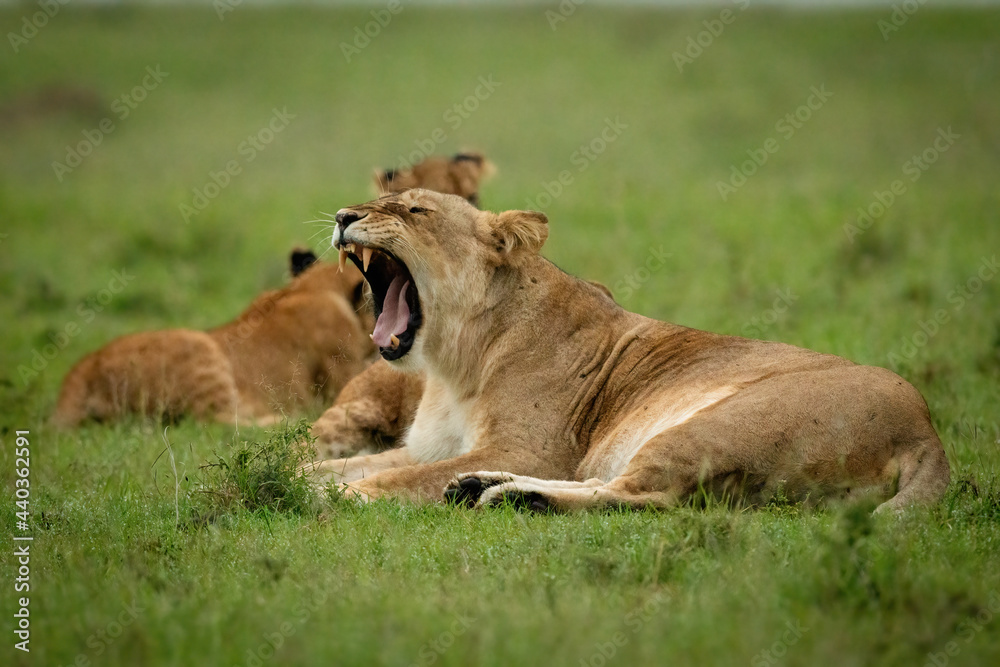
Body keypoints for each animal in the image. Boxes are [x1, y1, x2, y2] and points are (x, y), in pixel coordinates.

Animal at [52, 250, 374, 427]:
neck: (314, 288)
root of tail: (80, 370)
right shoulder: (343, 372)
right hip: (201, 347)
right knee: (215, 422)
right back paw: (289, 419)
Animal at [307, 189, 950, 515]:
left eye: (414, 210)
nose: (342, 216)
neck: (453, 360)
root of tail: (927, 431)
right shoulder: (432, 446)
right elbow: (349, 464)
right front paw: (300, 476)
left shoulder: (533, 449)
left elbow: (390, 482)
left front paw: (333, 498)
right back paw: (480, 488)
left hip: (715, 426)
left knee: (647, 495)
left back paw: (512, 496)